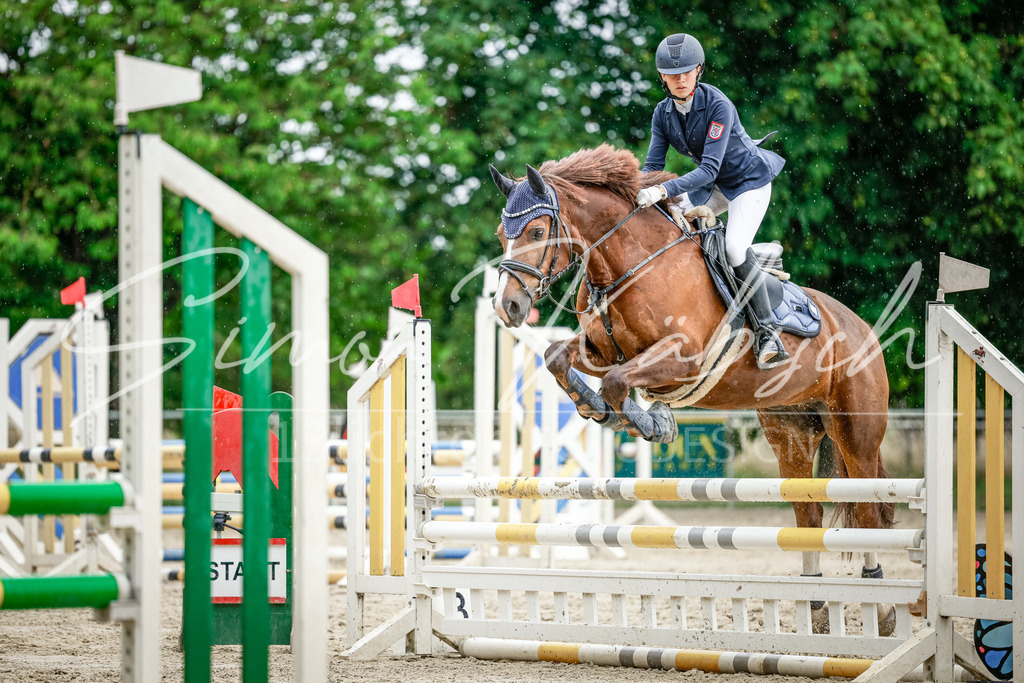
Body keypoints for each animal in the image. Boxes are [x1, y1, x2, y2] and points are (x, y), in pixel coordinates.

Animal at [488, 143, 896, 634]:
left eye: (536, 230)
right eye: (501, 234)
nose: (508, 307)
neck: (627, 264)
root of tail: (861, 328)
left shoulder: (682, 359)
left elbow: (618, 383)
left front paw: (650, 423)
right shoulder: (603, 350)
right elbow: (558, 358)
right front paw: (597, 408)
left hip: (855, 432)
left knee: (867, 509)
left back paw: (882, 609)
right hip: (792, 431)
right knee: (808, 513)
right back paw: (816, 612)